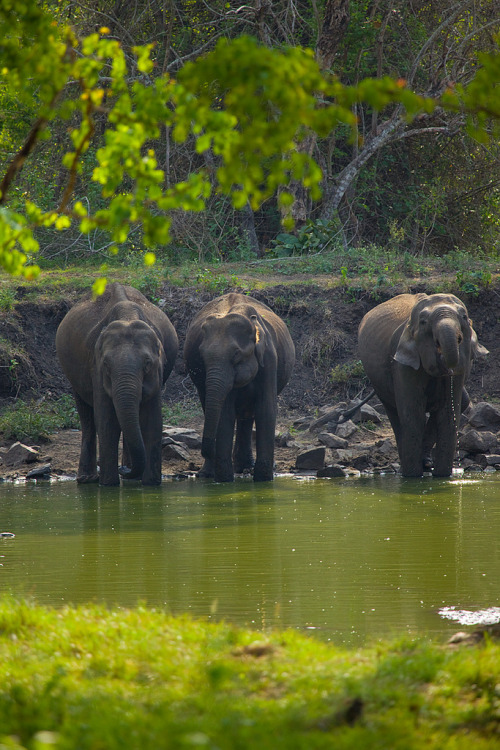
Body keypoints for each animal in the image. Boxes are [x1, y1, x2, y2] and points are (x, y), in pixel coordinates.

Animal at [55, 282, 178, 488]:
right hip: (73, 374)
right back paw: (88, 479)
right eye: (106, 364)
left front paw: (151, 484)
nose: (124, 470)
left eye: (147, 363)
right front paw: (108, 485)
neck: (127, 316)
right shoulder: (95, 366)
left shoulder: (158, 372)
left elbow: (153, 418)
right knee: (87, 417)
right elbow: (106, 419)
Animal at [184, 292, 294, 482]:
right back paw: (211, 473)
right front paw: (224, 480)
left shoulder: (269, 359)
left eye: (236, 354)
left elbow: (266, 408)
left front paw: (264, 480)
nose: (206, 451)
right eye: (201, 356)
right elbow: (225, 412)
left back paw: (244, 467)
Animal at [360, 290, 488, 478]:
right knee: (395, 416)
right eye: (423, 322)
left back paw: (426, 463)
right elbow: (413, 416)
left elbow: (448, 416)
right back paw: (406, 469)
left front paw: (443, 477)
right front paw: (412, 478)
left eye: (464, 317)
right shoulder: (402, 364)